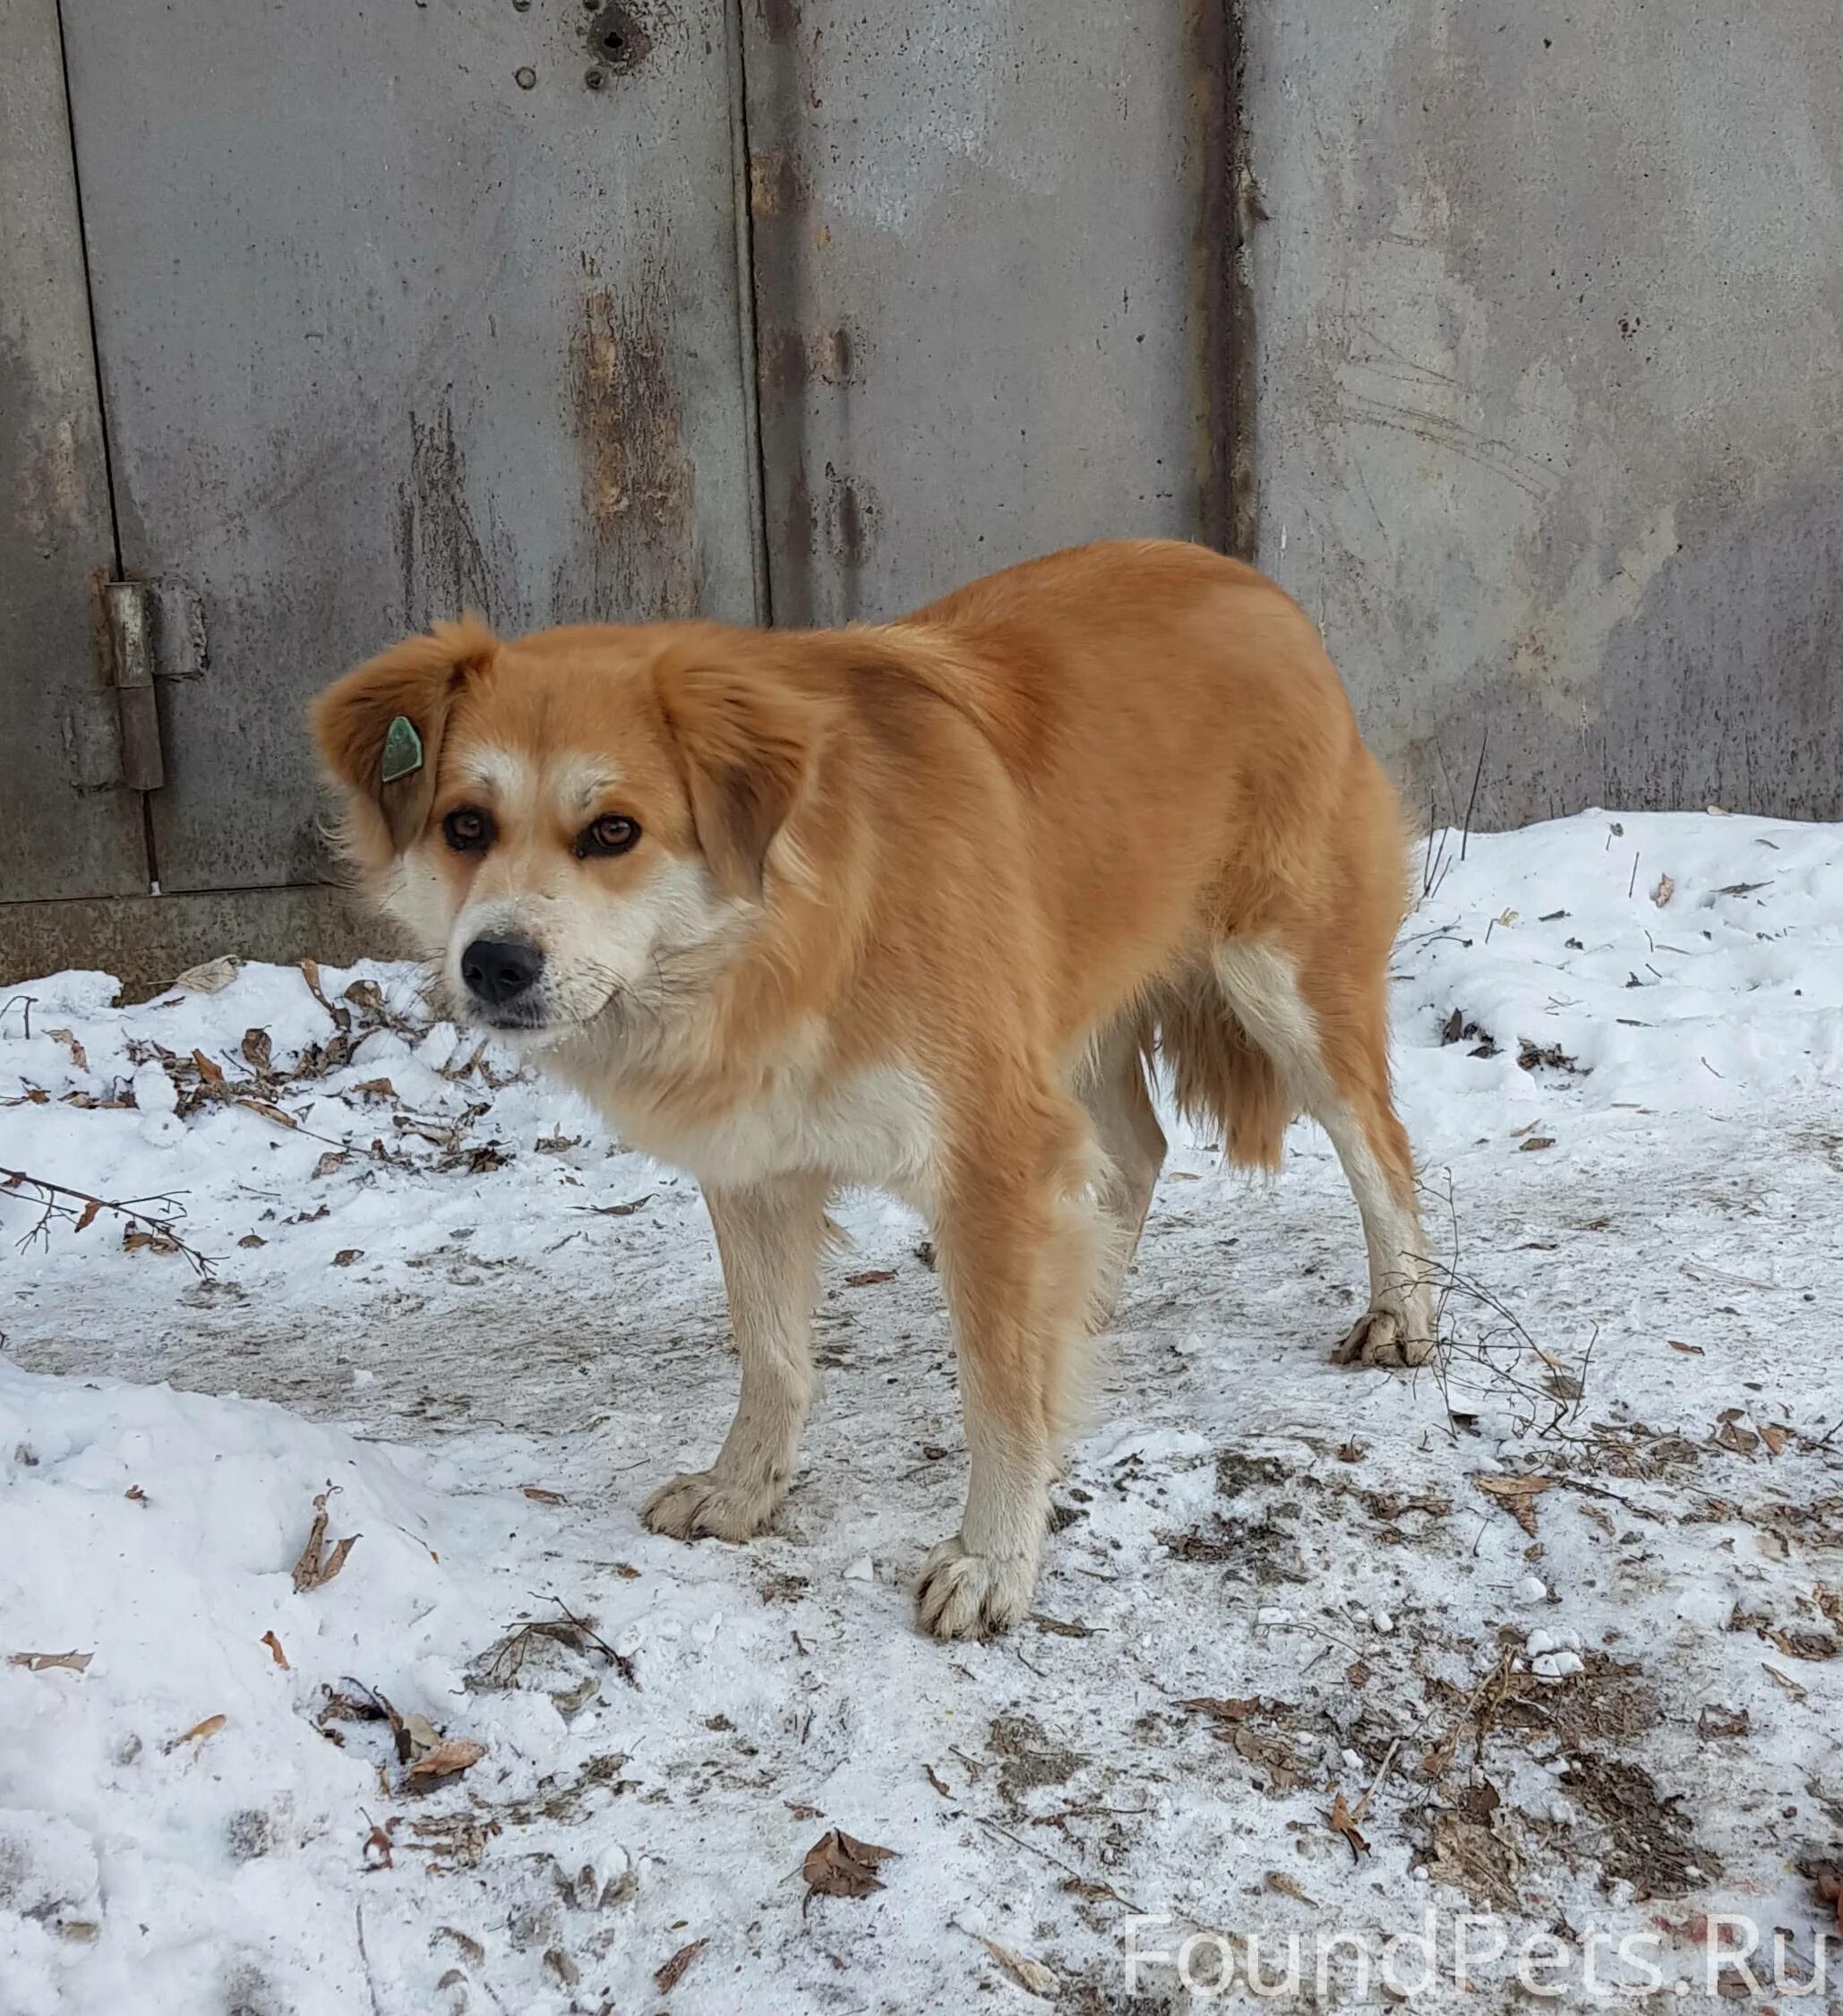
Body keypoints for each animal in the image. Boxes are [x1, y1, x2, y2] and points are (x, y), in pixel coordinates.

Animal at [308, 540, 1427, 1636]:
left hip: (1284, 981)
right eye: (464, 825)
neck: (791, 932)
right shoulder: (755, 1162)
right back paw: (1086, 1306)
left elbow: (998, 1389)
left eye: (613, 832)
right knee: (1135, 1156)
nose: (495, 964)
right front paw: (744, 1489)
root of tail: (1258, 585)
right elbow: (772, 1352)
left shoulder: (990, 1149)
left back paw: (1401, 1314)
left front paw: (994, 1558)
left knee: (1380, 1148)